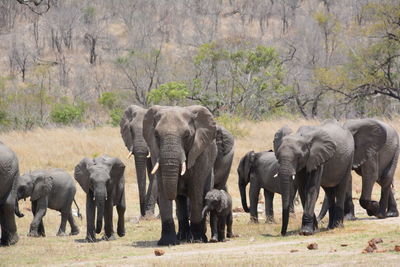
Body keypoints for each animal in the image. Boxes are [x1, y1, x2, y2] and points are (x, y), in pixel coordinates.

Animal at [143, 105, 219, 247]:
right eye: (156, 135)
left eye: (187, 135)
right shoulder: (156, 153)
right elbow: (163, 189)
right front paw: (167, 242)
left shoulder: (200, 153)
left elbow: (195, 190)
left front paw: (197, 240)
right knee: (180, 201)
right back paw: (183, 238)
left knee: (203, 192)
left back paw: (199, 237)